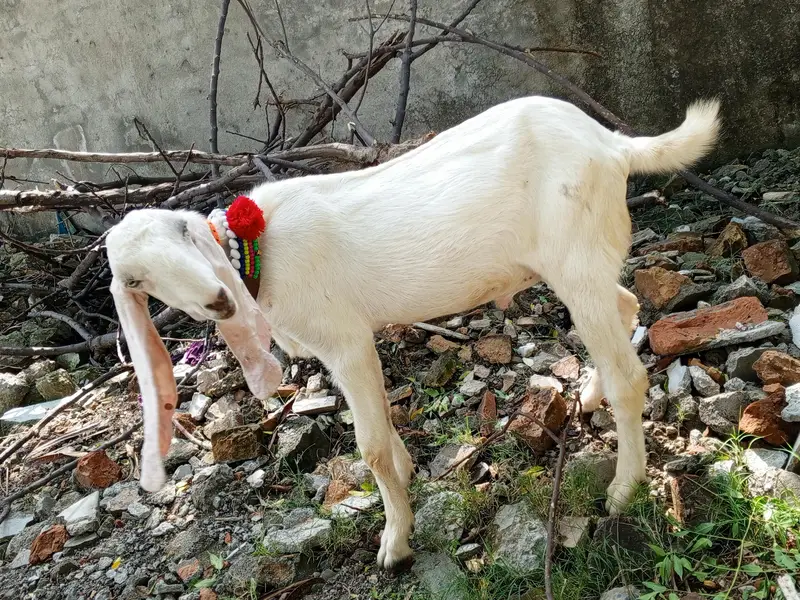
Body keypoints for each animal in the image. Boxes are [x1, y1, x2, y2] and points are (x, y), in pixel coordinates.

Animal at [105, 94, 720, 571]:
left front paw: (395, 542)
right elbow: (383, 424)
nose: (217, 299)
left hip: (576, 257)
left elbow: (370, 447)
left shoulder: (345, 341)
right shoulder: (350, 347)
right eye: (135, 279)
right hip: (584, 261)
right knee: (626, 304)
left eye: (185, 233)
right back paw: (591, 394)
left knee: (630, 375)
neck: (259, 251)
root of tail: (613, 145)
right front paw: (405, 475)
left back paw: (623, 488)